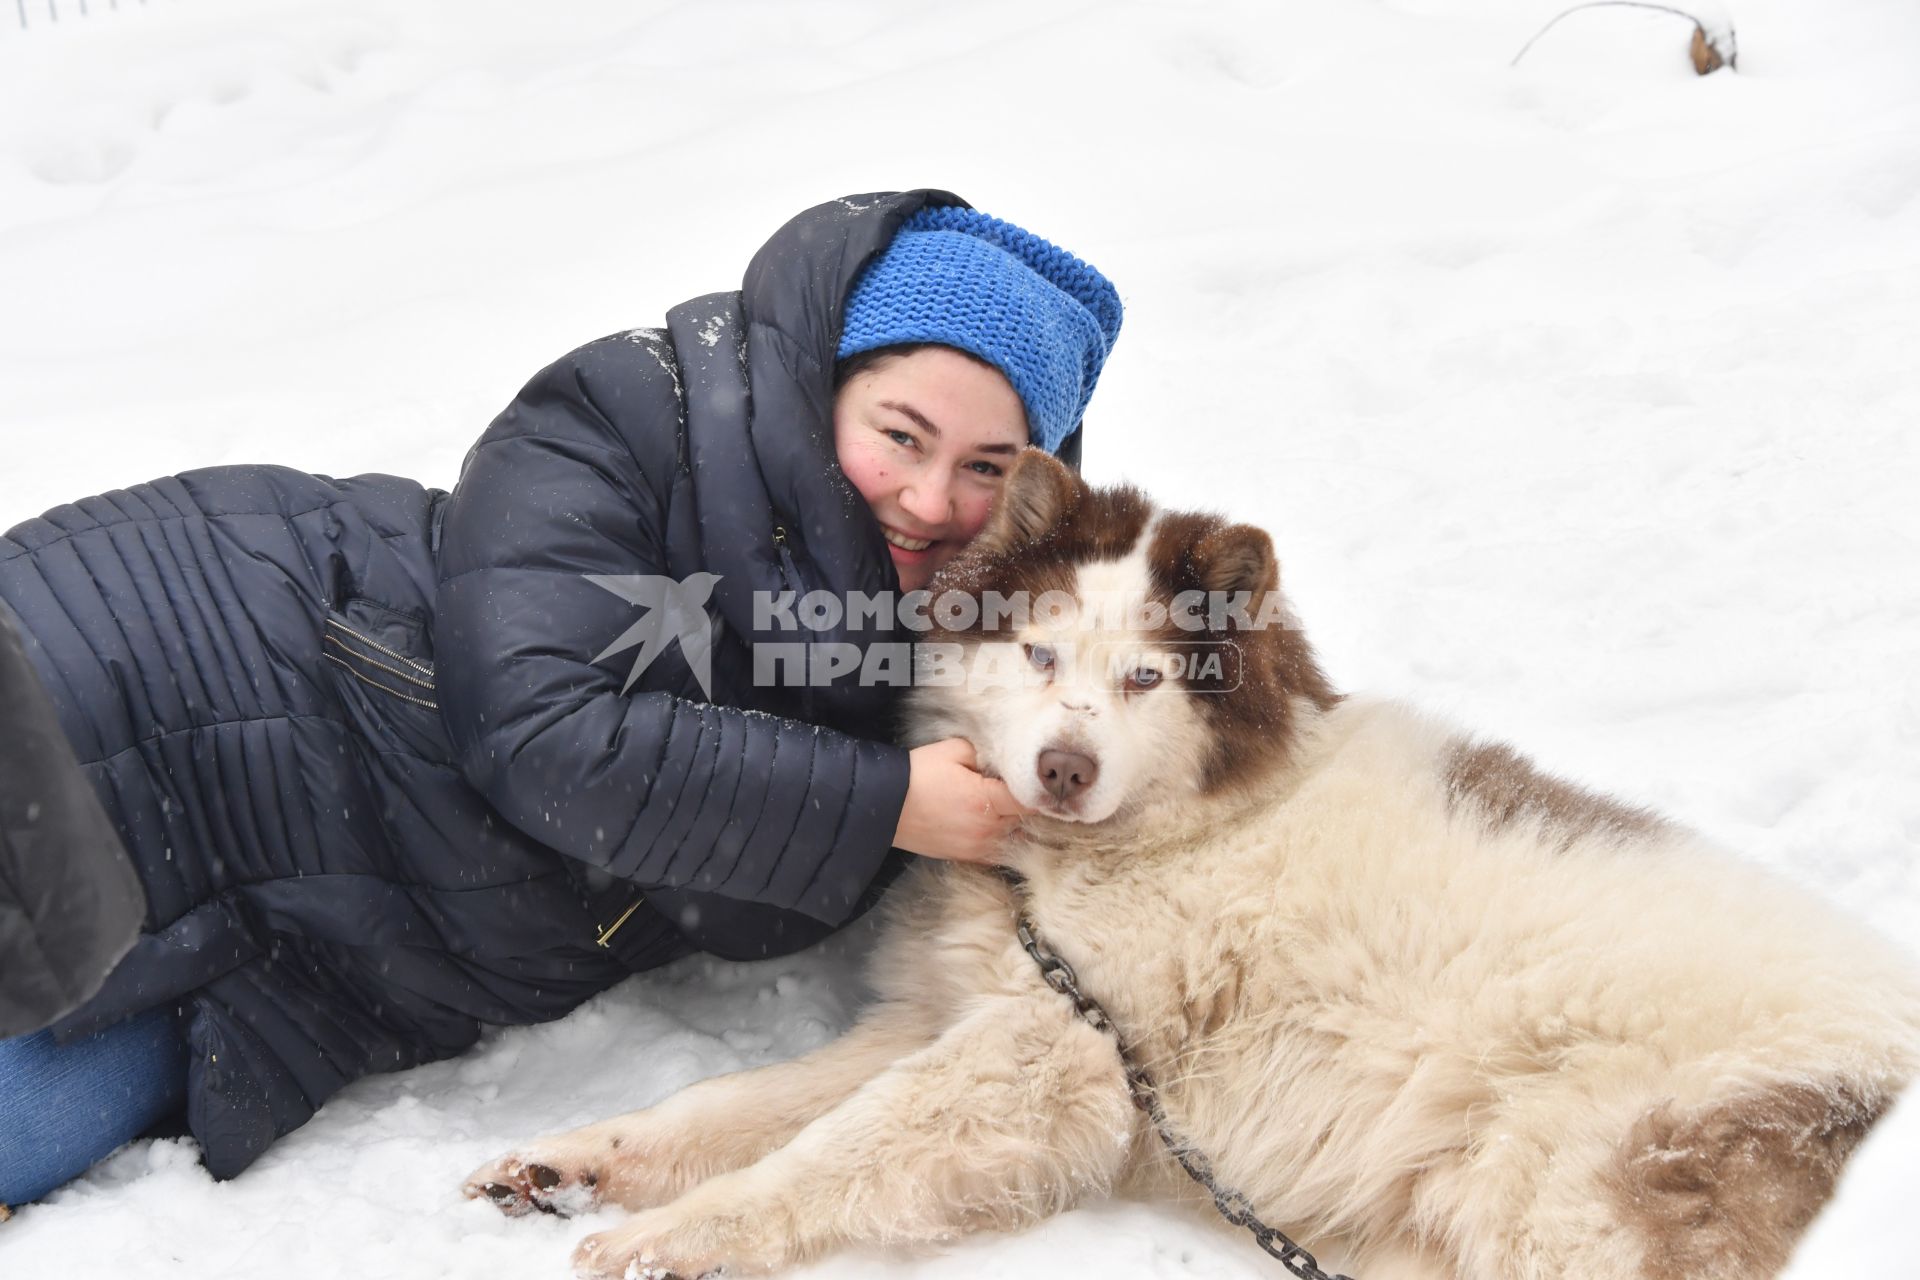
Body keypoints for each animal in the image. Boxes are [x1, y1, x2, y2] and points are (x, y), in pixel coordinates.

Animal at [464, 454, 1920, 1274]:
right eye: (1041, 651)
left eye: (1148, 678)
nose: (1063, 767)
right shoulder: (947, 1017)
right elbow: (736, 1104)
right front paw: (576, 1161)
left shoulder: (1042, 1062)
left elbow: (834, 1145)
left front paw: (668, 1239)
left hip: (1604, 1184)